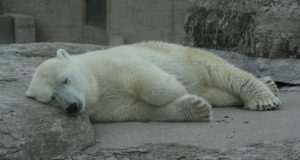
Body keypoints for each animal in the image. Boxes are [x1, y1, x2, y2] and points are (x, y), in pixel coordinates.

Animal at [25, 41, 282, 122]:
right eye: (52, 98)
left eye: (66, 80)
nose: (72, 106)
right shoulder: (103, 109)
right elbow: (138, 110)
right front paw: (195, 108)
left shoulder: (112, 63)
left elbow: (143, 77)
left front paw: (177, 89)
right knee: (217, 93)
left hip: (183, 54)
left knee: (221, 70)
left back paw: (264, 96)